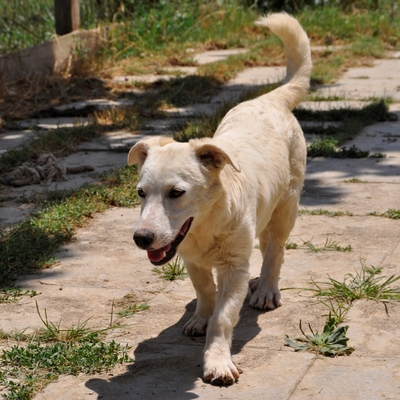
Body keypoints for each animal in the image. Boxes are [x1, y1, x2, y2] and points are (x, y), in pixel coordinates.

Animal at [128, 14, 312, 386]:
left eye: (176, 193)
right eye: (141, 193)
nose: (141, 238)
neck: (206, 225)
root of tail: (269, 100)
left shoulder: (233, 266)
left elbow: (223, 318)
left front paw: (217, 361)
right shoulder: (190, 258)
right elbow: (205, 292)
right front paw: (201, 316)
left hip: (287, 206)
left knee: (276, 249)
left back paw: (266, 288)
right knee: (266, 243)